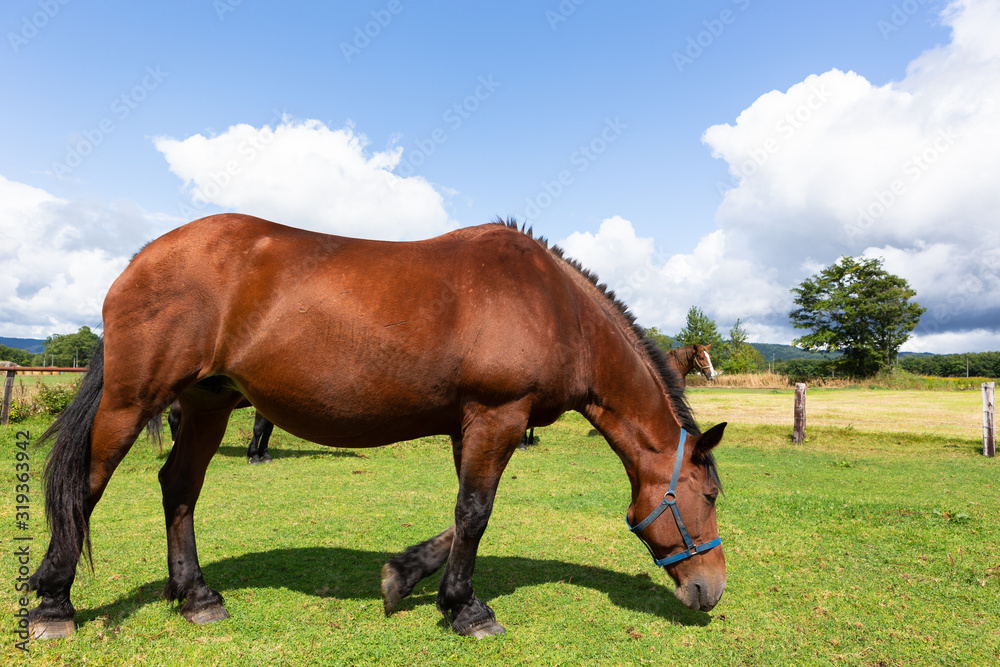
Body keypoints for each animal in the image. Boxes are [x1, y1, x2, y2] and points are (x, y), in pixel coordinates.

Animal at [28, 214, 727, 640]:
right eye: (712, 494)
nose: (710, 588)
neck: (558, 307)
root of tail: (142, 257)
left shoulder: (471, 424)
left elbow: (462, 516)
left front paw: (405, 577)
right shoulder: (497, 415)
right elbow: (476, 512)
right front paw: (467, 609)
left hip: (207, 403)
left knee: (179, 487)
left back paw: (197, 595)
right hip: (132, 400)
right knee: (86, 487)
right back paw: (54, 603)